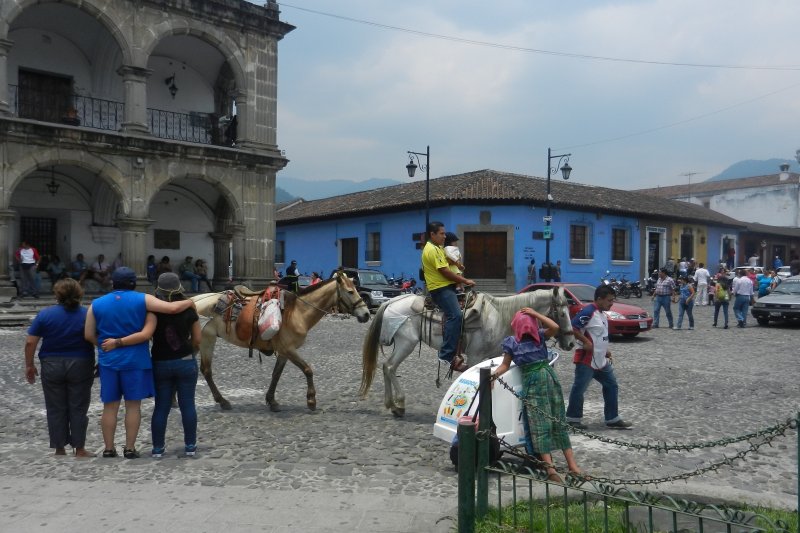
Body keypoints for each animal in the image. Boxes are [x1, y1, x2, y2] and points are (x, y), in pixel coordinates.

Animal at [194, 272, 372, 410]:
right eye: (350, 291)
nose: (366, 314)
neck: (297, 313)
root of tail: (194, 301)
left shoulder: (284, 352)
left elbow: (276, 374)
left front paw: (271, 400)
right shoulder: (289, 349)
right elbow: (308, 370)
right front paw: (311, 400)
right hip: (207, 339)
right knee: (206, 370)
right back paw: (222, 401)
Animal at [362, 286, 576, 416]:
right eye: (562, 313)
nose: (571, 343)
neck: (500, 317)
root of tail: (390, 302)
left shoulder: (492, 356)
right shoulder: (475, 357)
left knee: (386, 366)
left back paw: (391, 404)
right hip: (406, 343)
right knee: (390, 367)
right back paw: (399, 404)